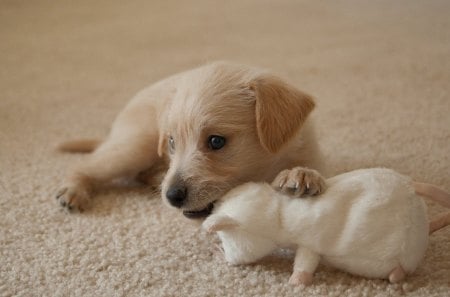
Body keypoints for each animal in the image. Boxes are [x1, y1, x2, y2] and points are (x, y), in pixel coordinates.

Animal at [56, 61, 326, 215]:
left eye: (216, 141)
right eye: (172, 142)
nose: (171, 196)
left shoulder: (311, 150)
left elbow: (314, 167)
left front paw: (301, 174)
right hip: (135, 146)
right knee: (85, 165)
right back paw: (73, 190)